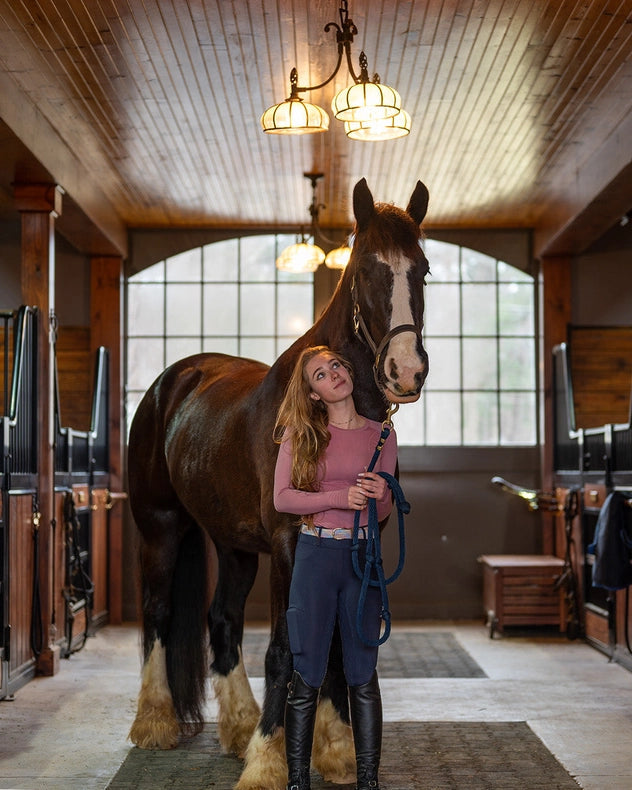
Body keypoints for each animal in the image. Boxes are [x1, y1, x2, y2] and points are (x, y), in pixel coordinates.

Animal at [126, 176, 432, 788]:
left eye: (425, 268)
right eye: (367, 268)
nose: (406, 371)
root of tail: (173, 380)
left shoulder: (358, 544)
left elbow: (335, 645)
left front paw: (334, 749)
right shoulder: (292, 543)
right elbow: (288, 648)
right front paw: (269, 762)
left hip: (235, 545)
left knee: (222, 621)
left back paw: (238, 728)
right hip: (160, 528)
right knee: (158, 613)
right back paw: (156, 723)